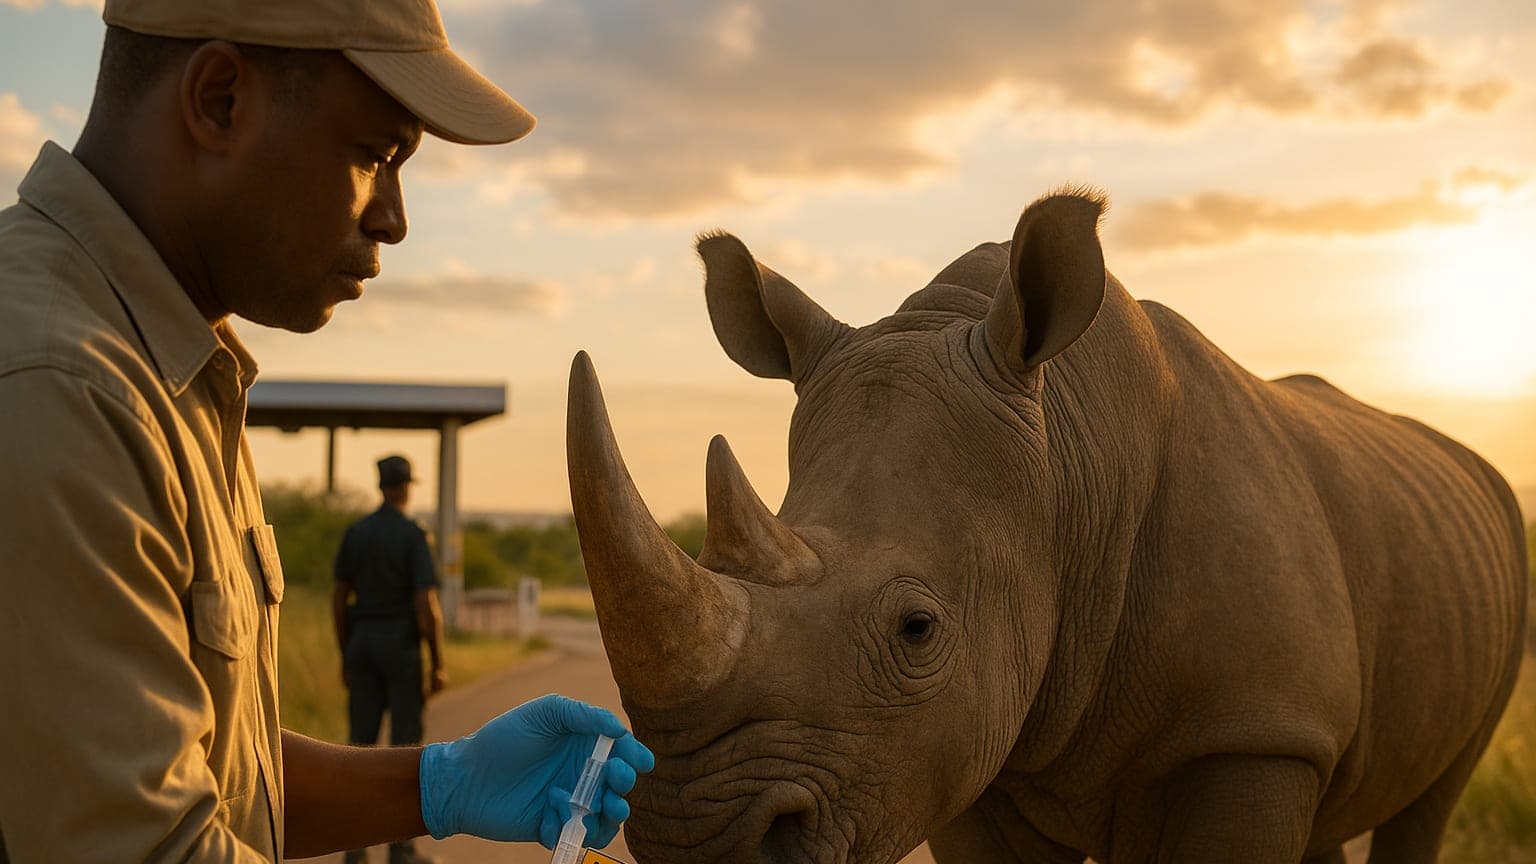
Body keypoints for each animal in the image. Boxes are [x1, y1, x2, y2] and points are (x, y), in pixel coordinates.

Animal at [565, 190, 1528, 864]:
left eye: (918, 628)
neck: (1071, 464)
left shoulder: (1255, 733)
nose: (693, 838)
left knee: (1429, 802)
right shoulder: (965, 748)